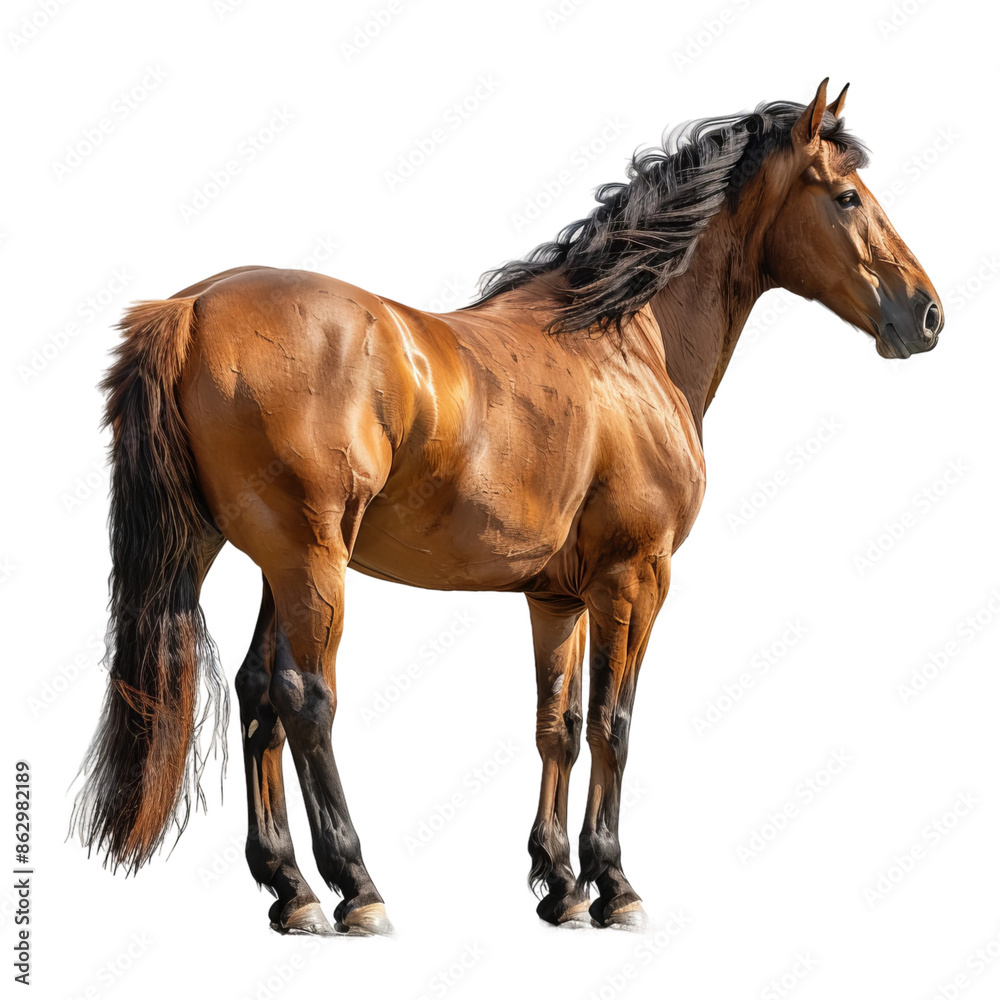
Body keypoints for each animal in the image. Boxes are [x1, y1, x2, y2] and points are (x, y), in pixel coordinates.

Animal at [72, 79, 943, 935]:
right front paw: (613, 885)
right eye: (847, 197)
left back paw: (292, 891)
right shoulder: (637, 578)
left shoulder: (557, 597)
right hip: (310, 558)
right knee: (304, 700)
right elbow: (614, 725)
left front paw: (560, 886)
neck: (625, 345)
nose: (926, 314)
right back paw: (357, 888)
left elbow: (558, 728)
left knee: (259, 693)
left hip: (261, 557)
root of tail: (190, 309)